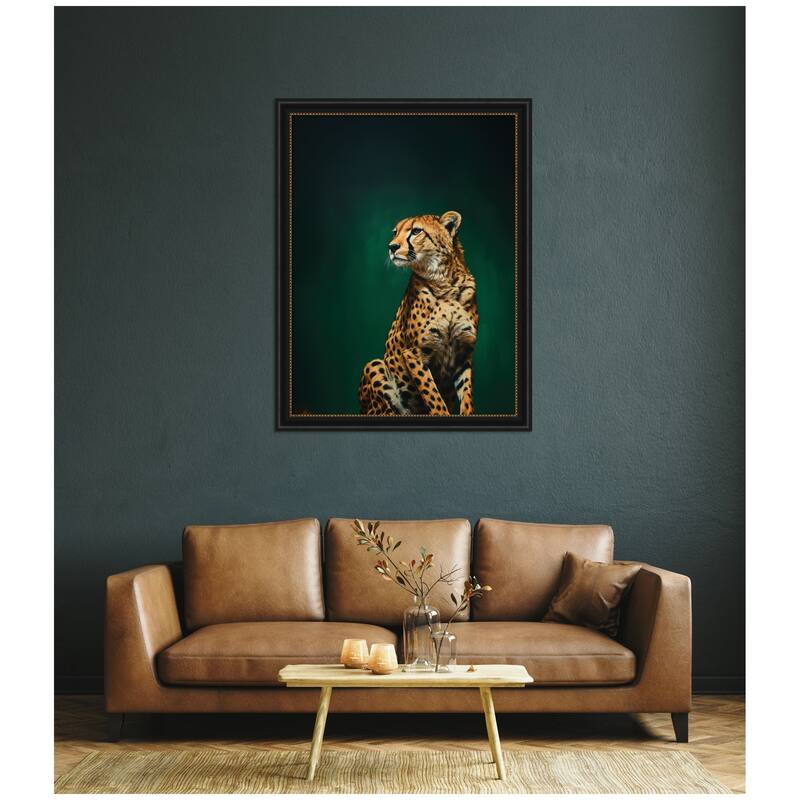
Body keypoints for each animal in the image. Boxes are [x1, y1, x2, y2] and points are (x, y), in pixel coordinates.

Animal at [359, 211, 478, 416]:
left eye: (416, 231)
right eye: (395, 232)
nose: (392, 247)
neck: (445, 283)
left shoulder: (463, 352)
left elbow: (467, 395)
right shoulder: (414, 353)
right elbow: (432, 395)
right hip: (374, 365)